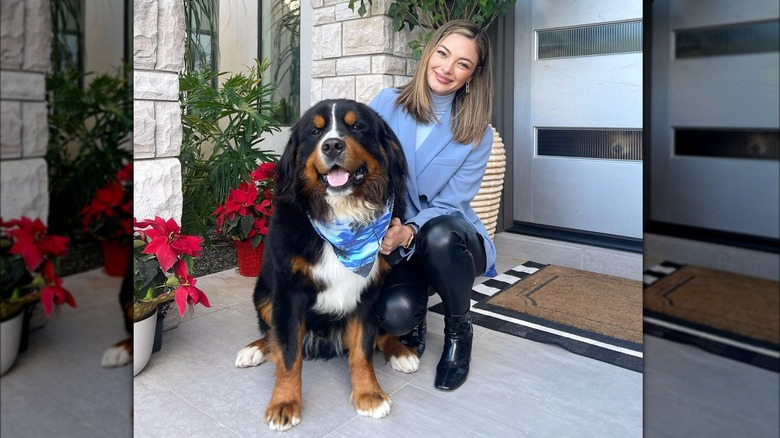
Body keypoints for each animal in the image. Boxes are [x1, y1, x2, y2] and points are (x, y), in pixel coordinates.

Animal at [235, 99, 420, 432]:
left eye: (357, 126)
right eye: (315, 131)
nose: (332, 145)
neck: (341, 214)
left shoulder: (367, 293)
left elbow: (362, 350)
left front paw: (368, 394)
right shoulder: (289, 293)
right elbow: (289, 354)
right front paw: (284, 403)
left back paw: (401, 351)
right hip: (264, 292)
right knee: (273, 334)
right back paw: (255, 348)